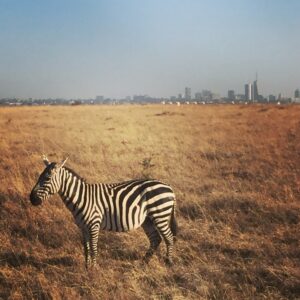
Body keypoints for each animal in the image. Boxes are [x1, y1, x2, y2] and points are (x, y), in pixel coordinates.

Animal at [29, 157, 177, 268]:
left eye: (47, 179)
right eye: (39, 176)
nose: (31, 199)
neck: (81, 197)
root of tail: (169, 187)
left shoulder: (94, 224)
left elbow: (94, 248)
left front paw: (94, 269)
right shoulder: (83, 227)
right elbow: (86, 248)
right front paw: (87, 268)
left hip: (160, 215)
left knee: (169, 237)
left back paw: (168, 262)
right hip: (148, 220)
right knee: (155, 239)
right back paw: (143, 263)